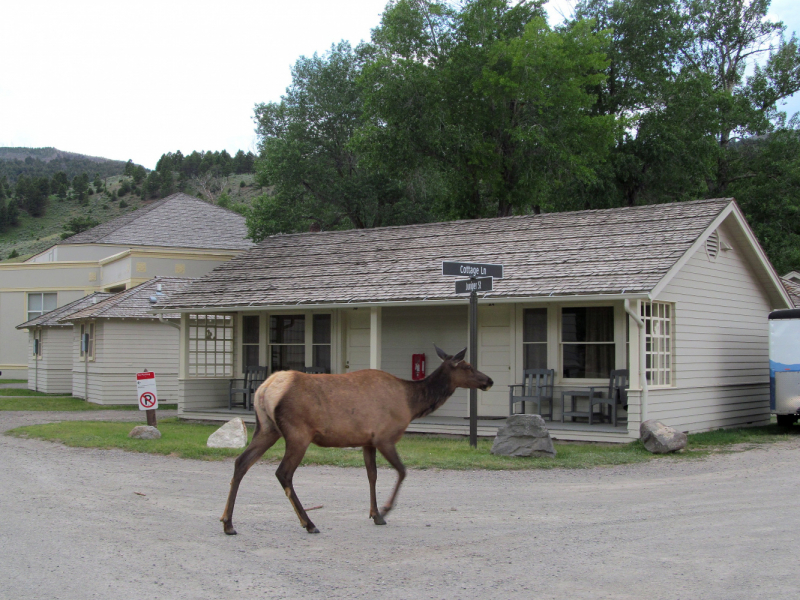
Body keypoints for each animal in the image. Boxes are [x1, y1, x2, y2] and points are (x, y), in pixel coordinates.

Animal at [220, 344, 494, 536]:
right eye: (467, 366)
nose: (489, 380)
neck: (411, 403)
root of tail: (265, 390)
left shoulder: (367, 440)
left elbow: (372, 475)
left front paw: (375, 514)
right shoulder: (385, 436)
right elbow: (402, 471)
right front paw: (386, 509)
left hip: (267, 428)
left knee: (241, 462)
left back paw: (227, 522)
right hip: (298, 433)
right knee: (283, 473)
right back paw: (309, 523)